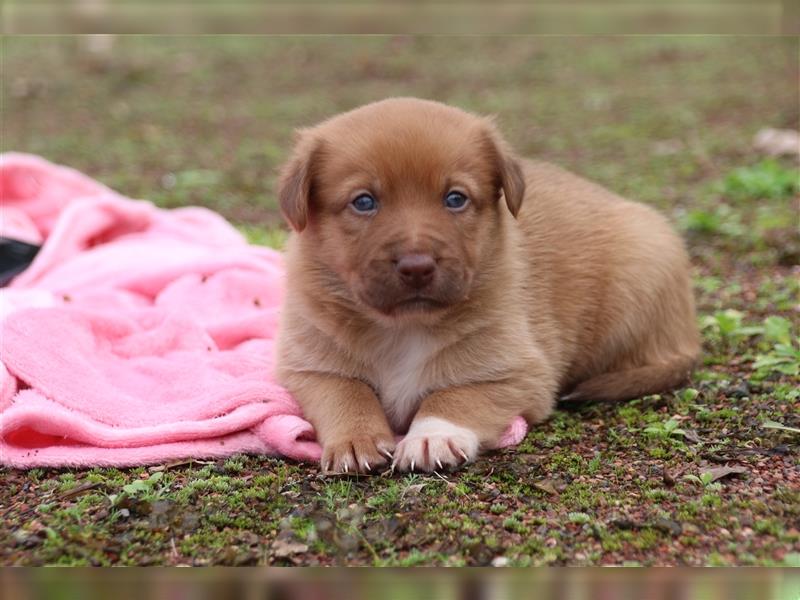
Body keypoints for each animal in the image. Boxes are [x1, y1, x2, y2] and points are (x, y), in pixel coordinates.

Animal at [272, 98, 696, 474]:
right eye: (364, 202)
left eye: (455, 198)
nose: (417, 267)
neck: (404, 327)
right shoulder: (309, 368)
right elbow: (347, 393)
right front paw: (355, 440)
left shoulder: (517, 373)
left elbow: (454, 395)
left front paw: (431, 437)